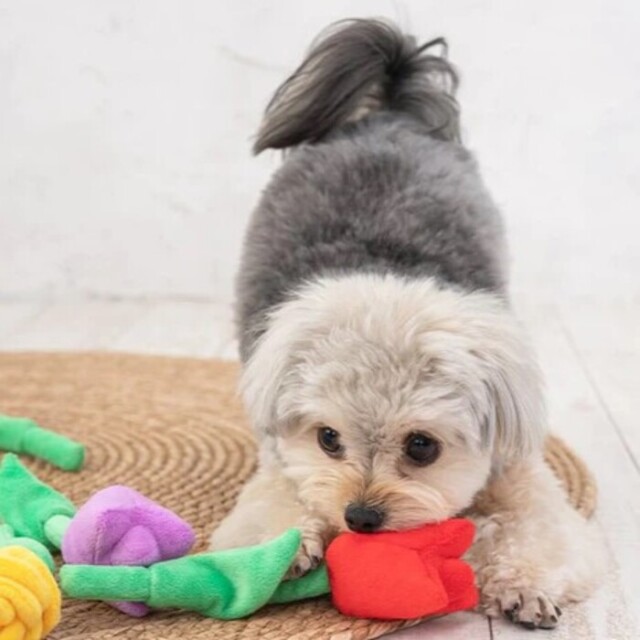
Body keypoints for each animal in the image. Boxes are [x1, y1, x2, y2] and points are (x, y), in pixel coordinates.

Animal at [211, 19, 604, 629]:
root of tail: (388, 113)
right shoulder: (282, 460)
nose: (361, 517)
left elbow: (538, 528)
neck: (389, 276)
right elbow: (272, 503)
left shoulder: (515, 467)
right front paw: (288, 546)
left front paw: (526, 583)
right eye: (327, 438)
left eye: (422, 446)